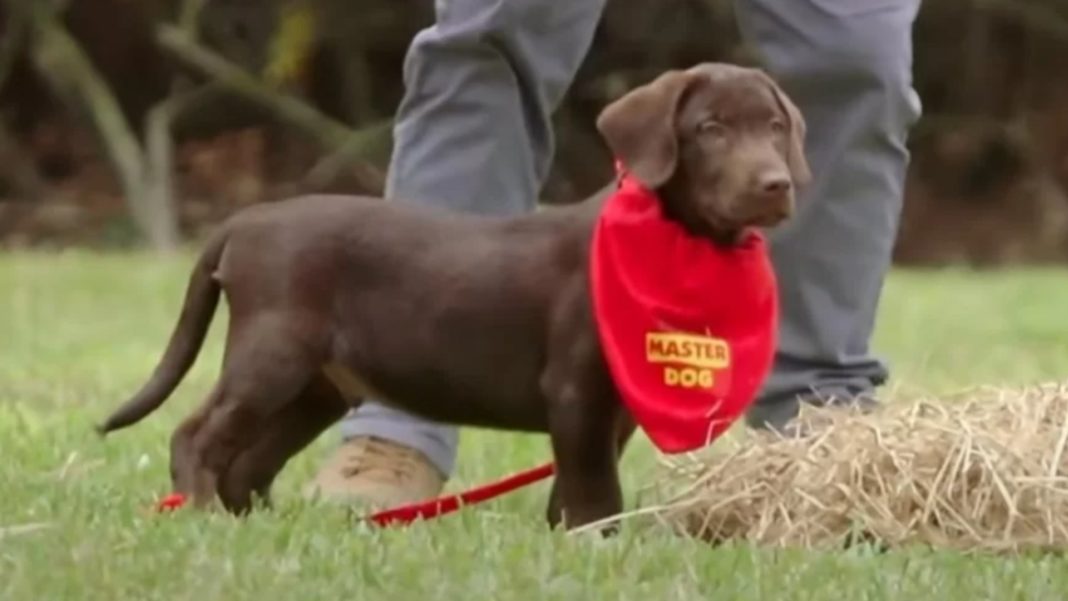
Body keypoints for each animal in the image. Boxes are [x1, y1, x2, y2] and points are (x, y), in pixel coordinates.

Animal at [98, 62, 807, 531]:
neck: (671, 239)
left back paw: (261, 528)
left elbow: (578, 483)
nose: (776, 184)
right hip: (272, 354)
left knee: (249, 465)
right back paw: (200, 514)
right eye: (710, 128)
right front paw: (595, 541)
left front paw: (569, 538)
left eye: (775, 126)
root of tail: (244, 222)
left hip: (316, 387)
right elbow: (593, 487)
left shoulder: (617, 407)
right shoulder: (574, 389)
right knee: (196, 436)